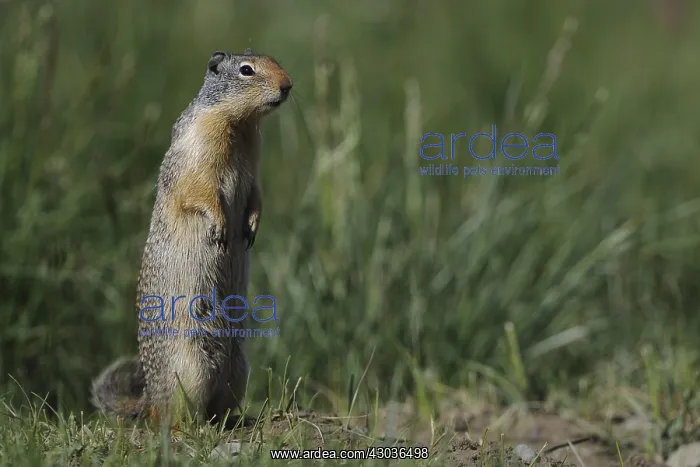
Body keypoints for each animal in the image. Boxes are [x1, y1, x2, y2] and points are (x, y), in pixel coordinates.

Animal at [90, 49, 292, 426]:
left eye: (275, 59)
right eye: (246, 70)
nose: (288, 85)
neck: (240, 126)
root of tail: (149, 397)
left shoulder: (255, 164)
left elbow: (257, 195)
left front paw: (251, 227)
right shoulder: (197, 150)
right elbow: (199, 190)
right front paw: (220, 227)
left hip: (238, 366)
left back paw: (231, 420)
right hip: (191, 367)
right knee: (173, 416)